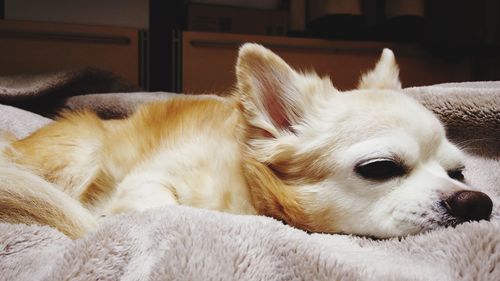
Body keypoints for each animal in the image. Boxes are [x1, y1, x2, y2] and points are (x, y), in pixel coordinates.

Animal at [0, 43, 492, 238]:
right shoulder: (147, 182)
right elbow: (163, 205)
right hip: (80, 153)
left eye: (458, 172)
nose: (478, 202)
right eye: (382, 168)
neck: (249, 189)